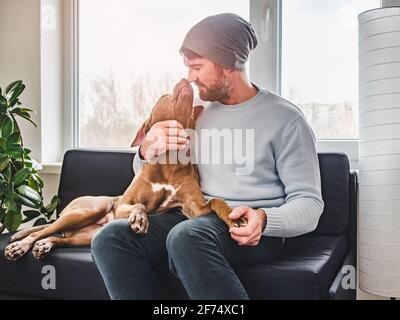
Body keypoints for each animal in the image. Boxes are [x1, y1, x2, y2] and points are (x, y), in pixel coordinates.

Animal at [3, 79, 247, 262]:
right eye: (163, 96)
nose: (185, 79)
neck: (170, 161)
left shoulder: (194, 209)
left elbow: (216, 202)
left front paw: (235, 219)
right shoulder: (122, 205)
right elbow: (139, 204)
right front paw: (139, 219)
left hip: (86, 236)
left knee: (57, 237)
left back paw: (44, 245)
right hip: (85, 211)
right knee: (42, 230)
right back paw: (21, 246)